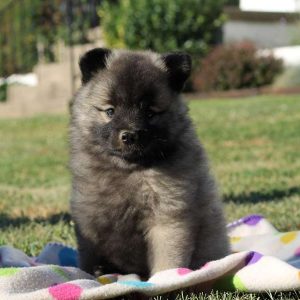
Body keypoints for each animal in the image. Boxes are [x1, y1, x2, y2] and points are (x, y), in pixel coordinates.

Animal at [69, 48, 230, 278]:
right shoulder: (89, 219)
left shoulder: (168, 218)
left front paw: (167, 279)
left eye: (150, 113)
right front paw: (89, 275)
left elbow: (167, 260)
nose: (129, 135)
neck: (128, 170)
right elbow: (88, 258)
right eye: (110, 111)